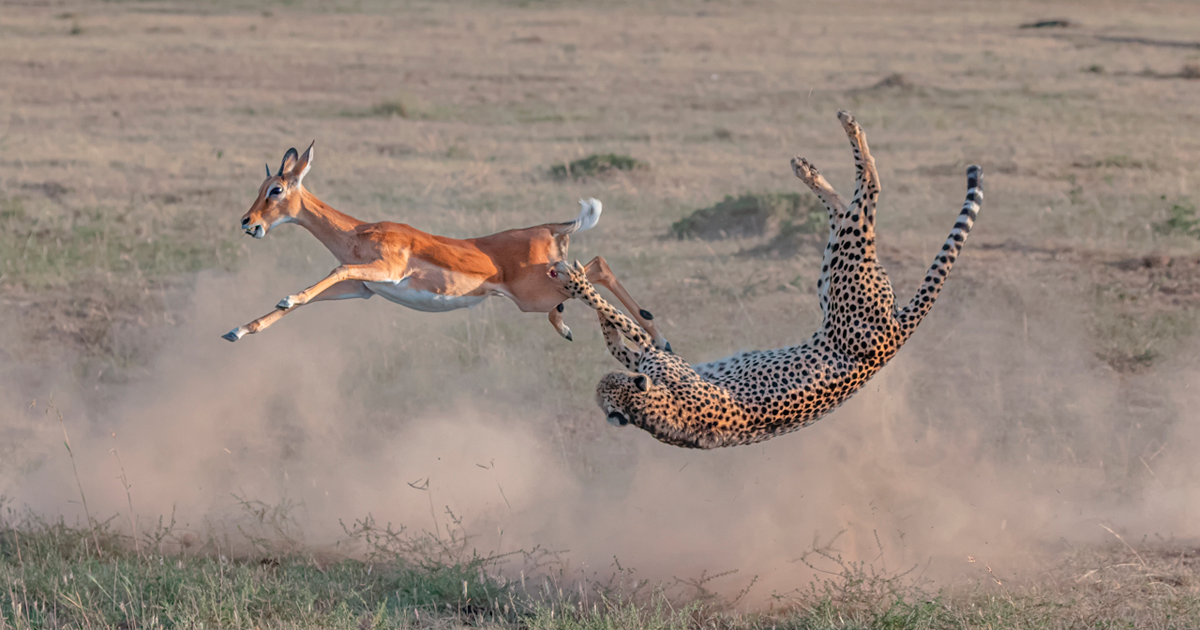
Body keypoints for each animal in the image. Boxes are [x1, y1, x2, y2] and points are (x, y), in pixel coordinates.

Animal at [549, 110, 984, 448]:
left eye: (608, 384)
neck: (654, 413)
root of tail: (897, 333)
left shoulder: (663, 361)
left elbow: (629, 327)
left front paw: (579, 285)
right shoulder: (660, 360)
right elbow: (628, 337)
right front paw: (591, 304)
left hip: (846, 271)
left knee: (868, 191)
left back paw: (840, 137)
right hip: (838, 270)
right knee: (852, 207)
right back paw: (813, 166)